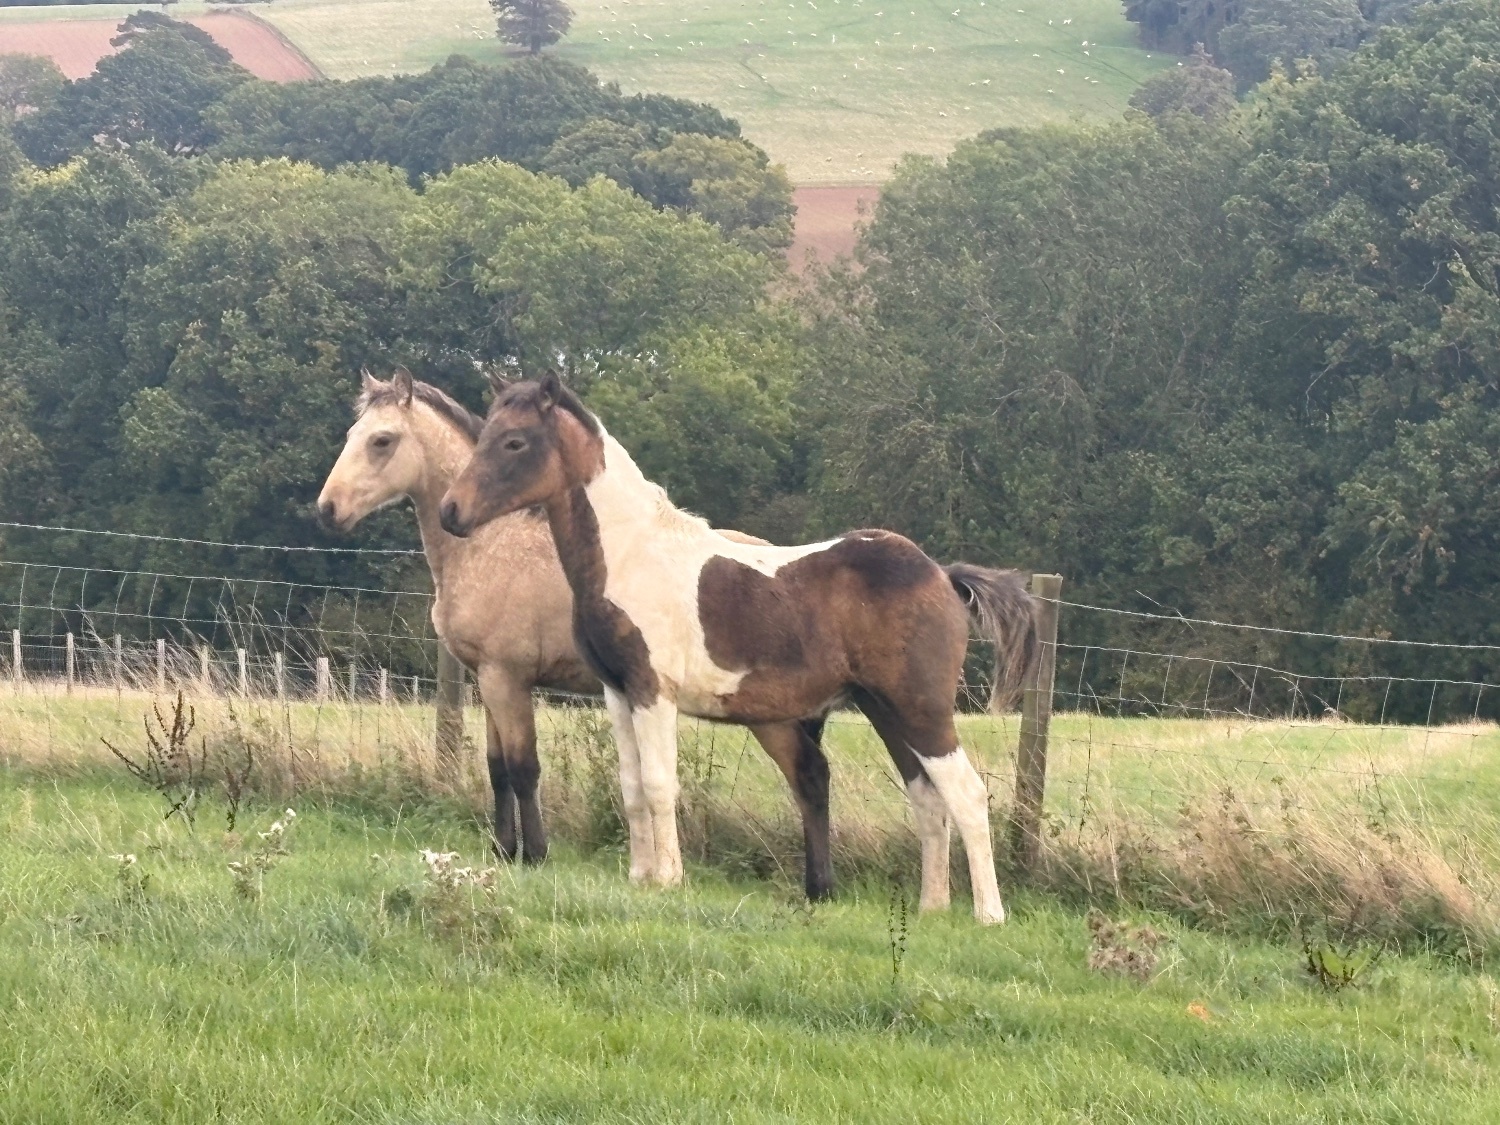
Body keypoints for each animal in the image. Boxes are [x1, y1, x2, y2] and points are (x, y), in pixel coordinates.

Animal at [316, 369, 838, 899]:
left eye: (382, 440)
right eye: (351, 434)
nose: (328, 509)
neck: (491, 546)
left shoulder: (507, 678)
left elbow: (524, 768)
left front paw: (534, 855)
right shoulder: (488, 680)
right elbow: (496, 768)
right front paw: (503, 850)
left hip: (767, 712)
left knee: (807, 777)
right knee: (809, 777)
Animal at [438, 372, 1039, 924]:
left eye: (515, 442)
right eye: (487, 432)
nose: (451, 512)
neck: (631, 555)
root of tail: (942, 575)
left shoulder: (654, 692)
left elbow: (659, 784)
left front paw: (668, 880)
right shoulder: (617, 692)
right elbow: (631, 786)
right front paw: (638, 877)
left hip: (921, 710)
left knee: (966, 794)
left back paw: (988, 914)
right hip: (885, 710)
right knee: (927, 798)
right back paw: (931, 908)